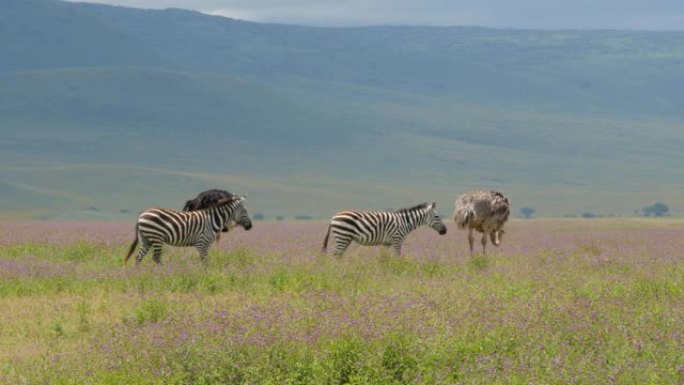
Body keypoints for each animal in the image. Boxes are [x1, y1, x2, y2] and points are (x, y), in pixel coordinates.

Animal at [123, 194, 251, 266]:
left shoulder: (206, 245)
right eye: (245, 211)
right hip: (157, 237)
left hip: (146, 239)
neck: (213, 220)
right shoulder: (202, 243)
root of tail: (141, 216)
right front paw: (206, 275)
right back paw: (164, 273)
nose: (250, 226)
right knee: (156, 257)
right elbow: (204, 261)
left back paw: (138, 274)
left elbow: (205, 261)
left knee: (138, 257)